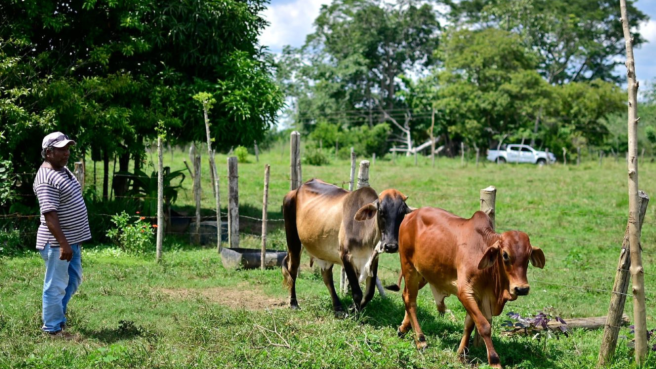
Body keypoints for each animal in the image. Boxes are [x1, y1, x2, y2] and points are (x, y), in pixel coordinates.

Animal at [392, 206, 544, 366]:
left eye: (528, 257)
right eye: (505, 255)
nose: (522, 288)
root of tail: (411, 215)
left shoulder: (478, 296)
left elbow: (469, 325)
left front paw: (461, 354)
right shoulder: (465, 292)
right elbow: (484, 326)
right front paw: (494, 360)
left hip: (425, 273)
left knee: (406, 295)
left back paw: (403, 329)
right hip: (409, 267)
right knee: (410, 300)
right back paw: (421, 340)